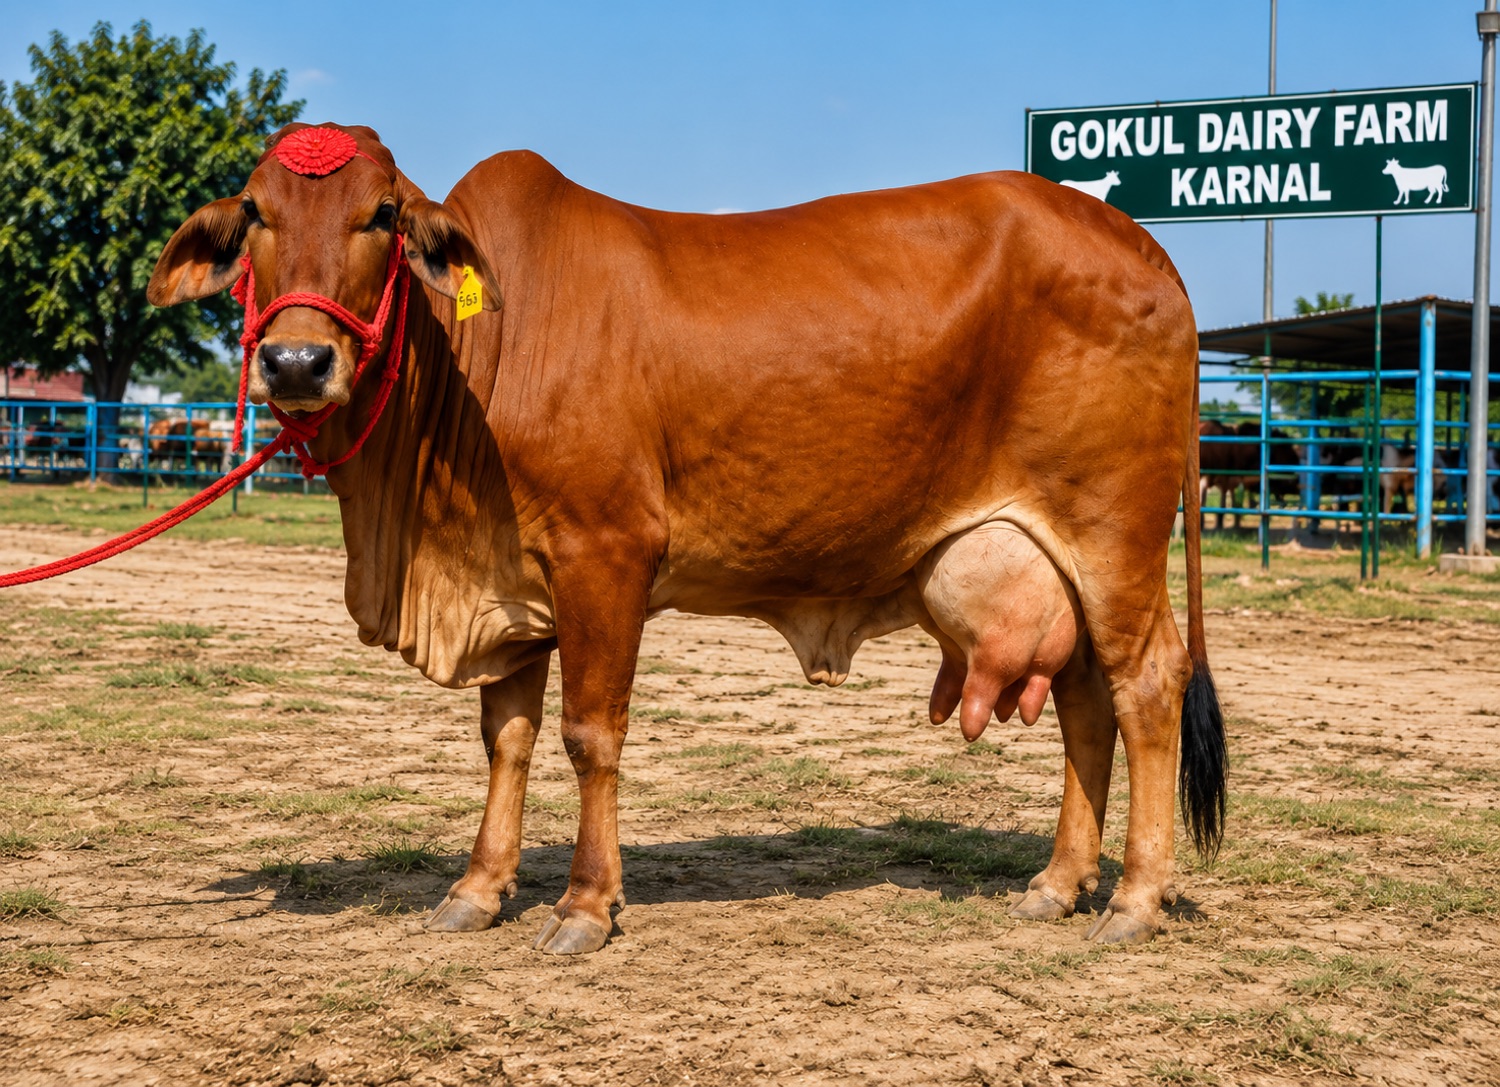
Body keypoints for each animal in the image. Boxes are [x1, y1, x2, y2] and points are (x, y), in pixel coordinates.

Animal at [146, 123, 1226, 954]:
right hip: (1060, 558)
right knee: (1084, 700)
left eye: (380, 215)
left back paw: (1133, 901)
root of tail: (1142, 246)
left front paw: (584, 906)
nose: (296, 361)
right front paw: (476, 890)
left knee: (1146, 685)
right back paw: (1057, 882)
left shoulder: (604, 556)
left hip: (1117, 534)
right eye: (256, 215)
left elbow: (589, 735)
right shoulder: (509, 582)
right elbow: (507, 737)